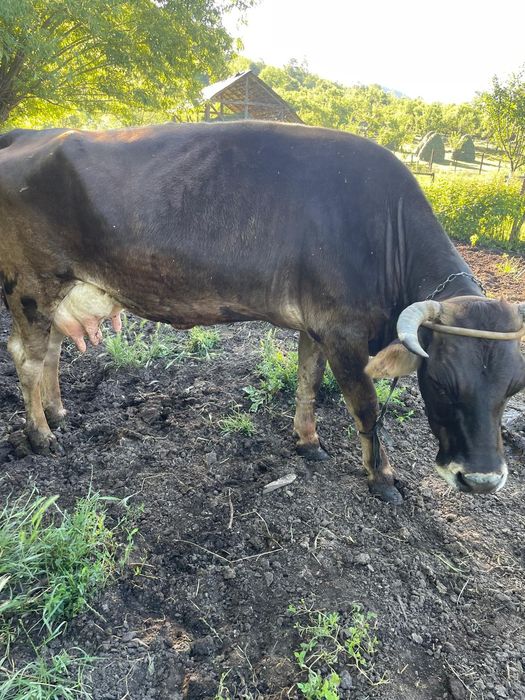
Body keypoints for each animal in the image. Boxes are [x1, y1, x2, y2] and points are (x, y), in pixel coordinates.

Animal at [0, 122, 523, 504]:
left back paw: (57, 412)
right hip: (30, 286)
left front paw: (307, 441)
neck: (382, 231)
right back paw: (40, 434)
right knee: (25, 355)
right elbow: (367, 406)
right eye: (439, 382)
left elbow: (308, 381)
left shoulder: (317, 326)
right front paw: (383, 479)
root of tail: (30, 132)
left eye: (513, 388)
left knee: (51, 350)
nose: (481, 480)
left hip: (60, 292)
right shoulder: (343, 333)